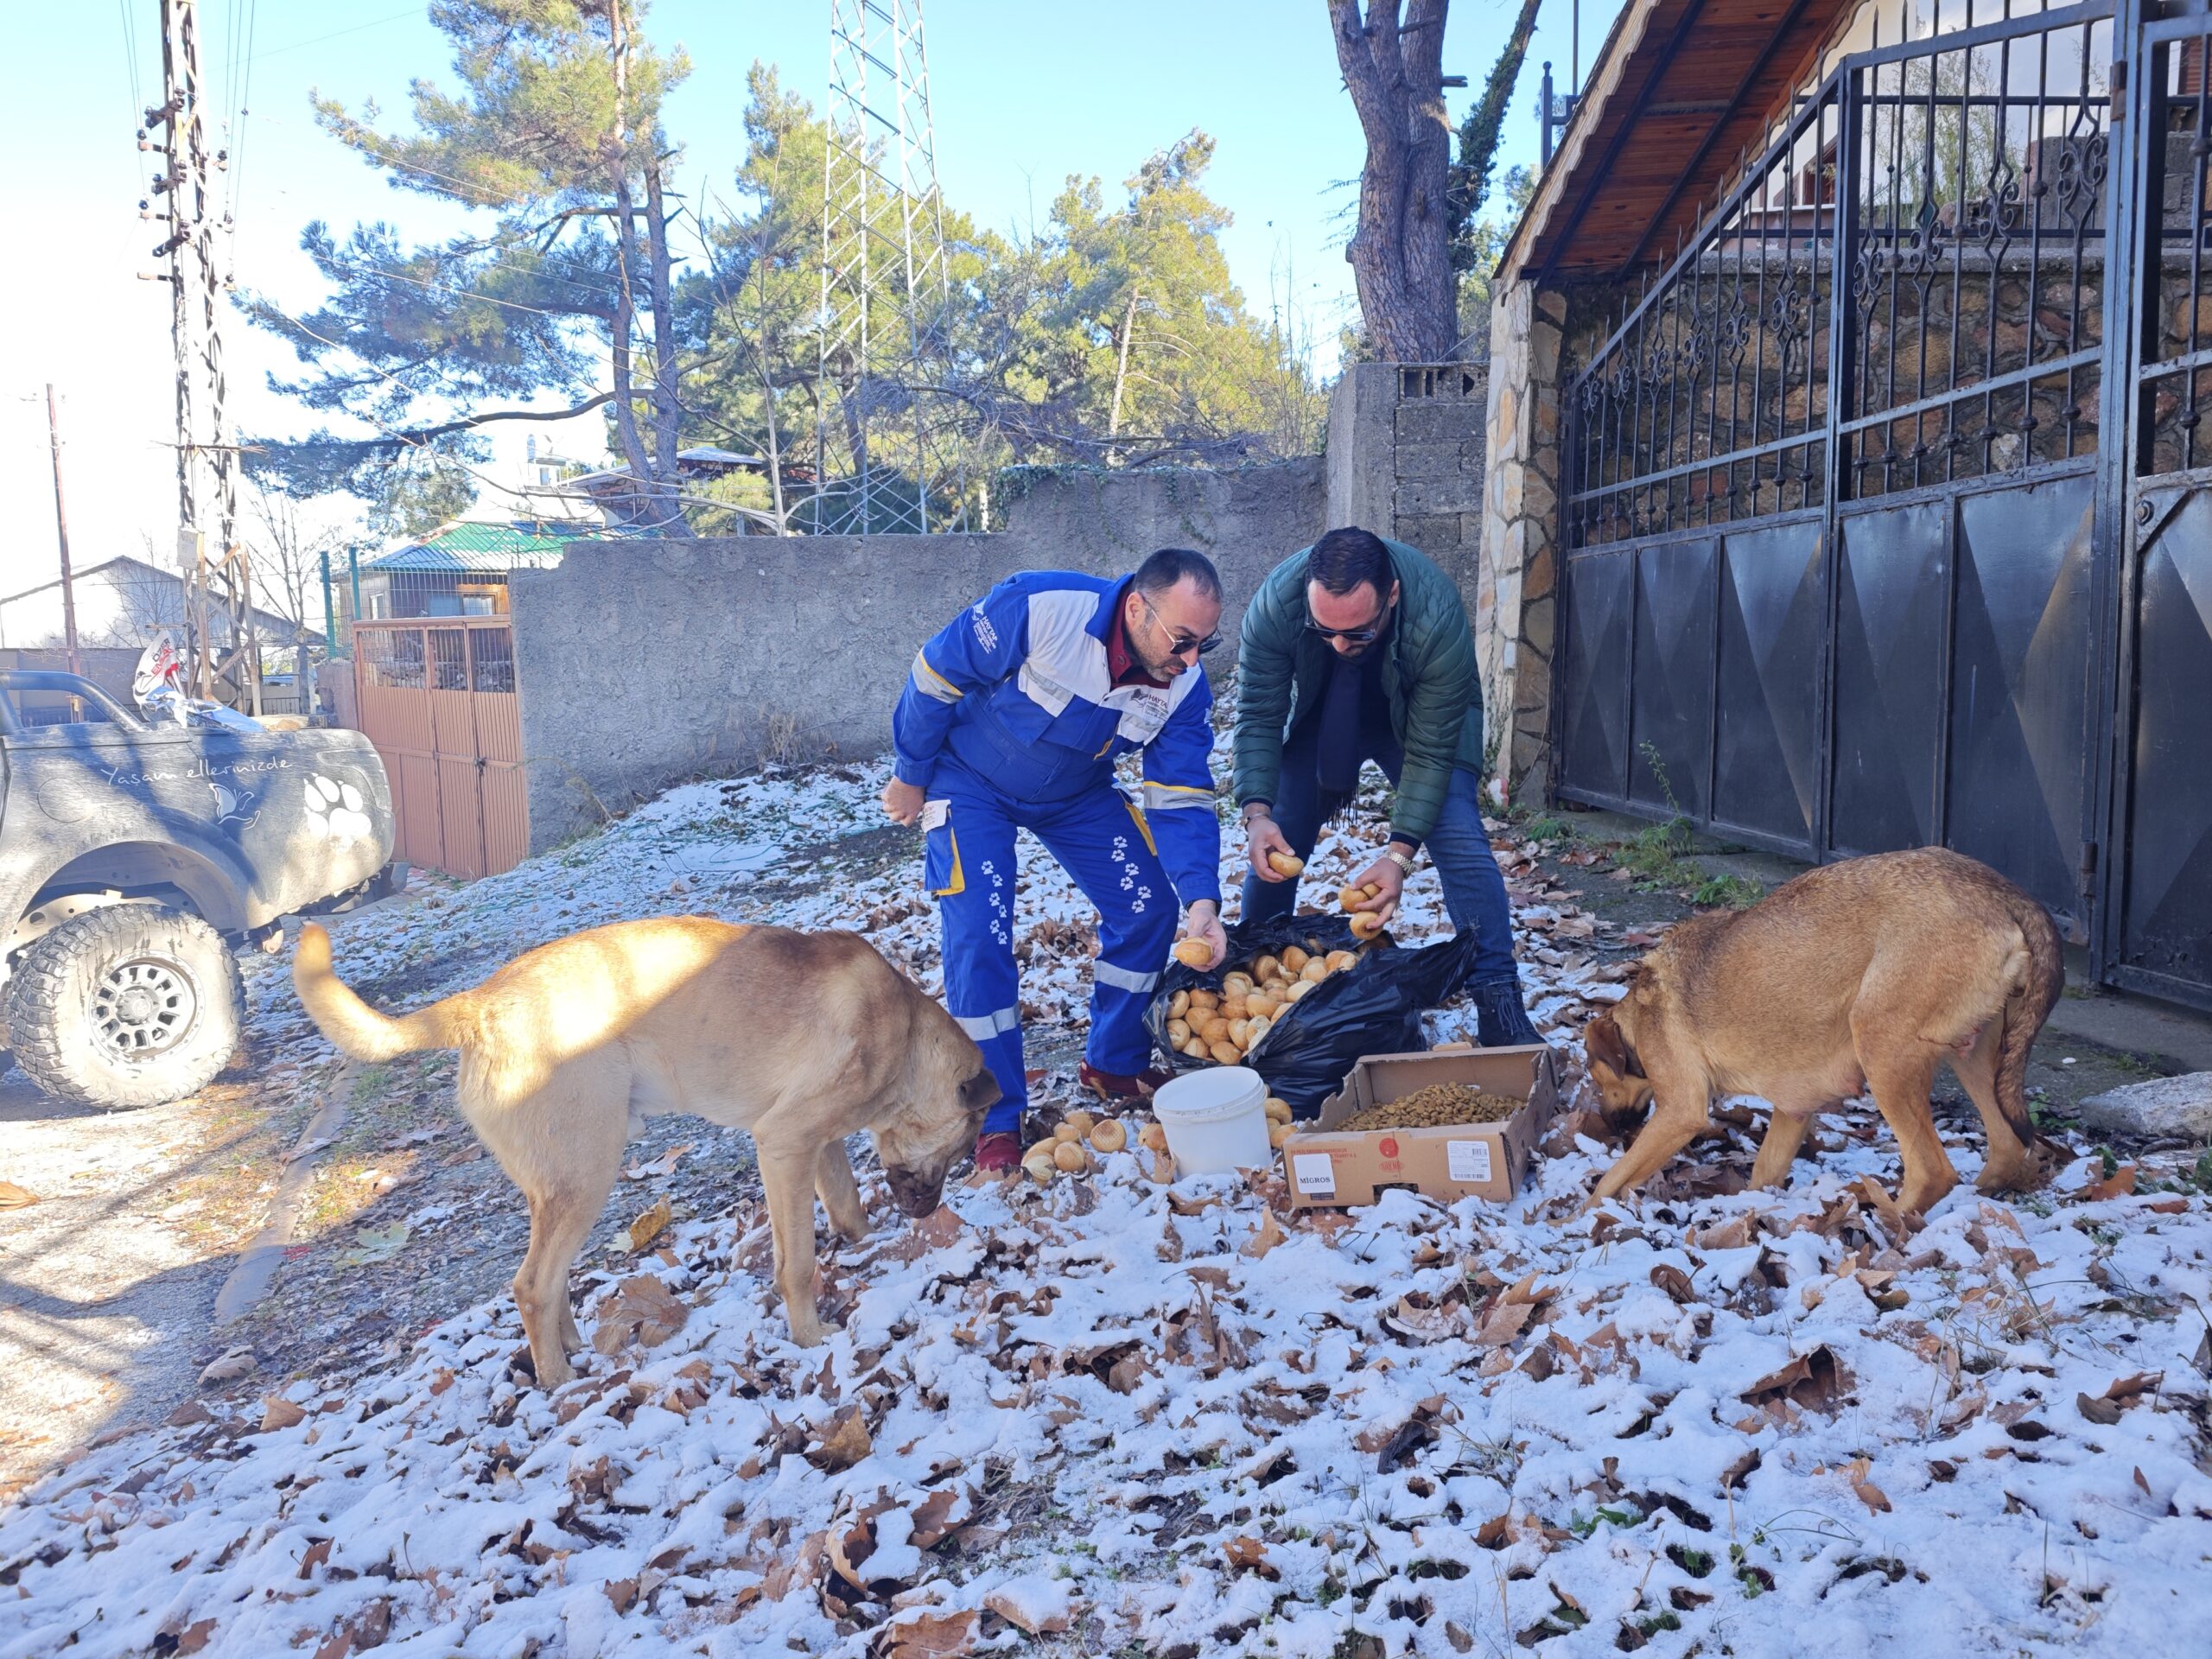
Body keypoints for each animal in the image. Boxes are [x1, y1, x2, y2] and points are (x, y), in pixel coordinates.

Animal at [289, 915, 1000, 1380]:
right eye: (960, 1148)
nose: (925, 1212)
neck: (904, 1036)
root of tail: (480, 1004)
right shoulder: (784, 1142)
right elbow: (796, 1264)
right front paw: (809, 1337)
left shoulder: (815, 1146)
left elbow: (848, 1209)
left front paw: (868, 1251)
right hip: (589, 1174)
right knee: (531, 1285)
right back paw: (558, 1384)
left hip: (561, 1183)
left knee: (550, 1280)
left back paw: (572, 1348)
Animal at [1583, 849, 2061, 1211]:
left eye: (1596, 1077)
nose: (1606, 1127)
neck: (1637, 1016)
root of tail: (2005, 894)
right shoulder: (1792, 1113)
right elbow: (1764, 1173)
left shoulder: (1679, 1113)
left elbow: (1611, 1179)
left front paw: (1580, 1221)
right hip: (1977, 1057)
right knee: (2005, 1145)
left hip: (1882, 1048)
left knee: (1932, 1172)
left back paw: (1889, 1224)